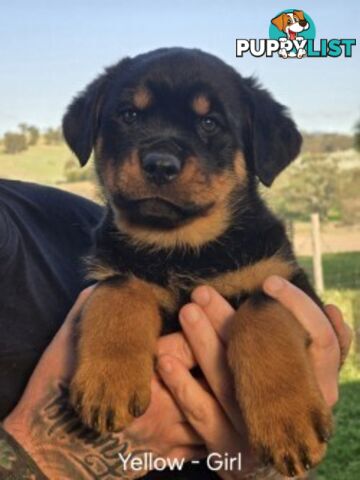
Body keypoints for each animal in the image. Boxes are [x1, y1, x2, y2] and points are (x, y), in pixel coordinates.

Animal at [62, 47, 332, 476]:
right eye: (129, 115)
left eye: (210, 123)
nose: (160, 164)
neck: (181, 246)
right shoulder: (100, 276)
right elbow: (119, 287)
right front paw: (108, 381)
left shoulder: (287, 283)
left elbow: (262, 311)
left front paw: (287, 422)